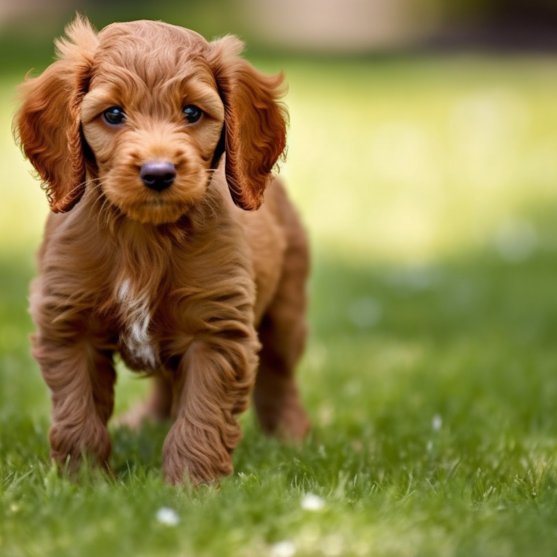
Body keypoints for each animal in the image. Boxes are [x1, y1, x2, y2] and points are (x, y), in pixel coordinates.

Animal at [14, 13, 308, 482]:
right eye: (113, 114)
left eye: (192, 112)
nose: (157, 173)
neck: (143, 236)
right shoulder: (68, 324)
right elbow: (79, 414)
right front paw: (84, 482)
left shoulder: (216, 331)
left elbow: (200, 416)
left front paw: (190, 485)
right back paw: (145, 423)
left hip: (285, 310)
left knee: (280, 375)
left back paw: (290, 438)